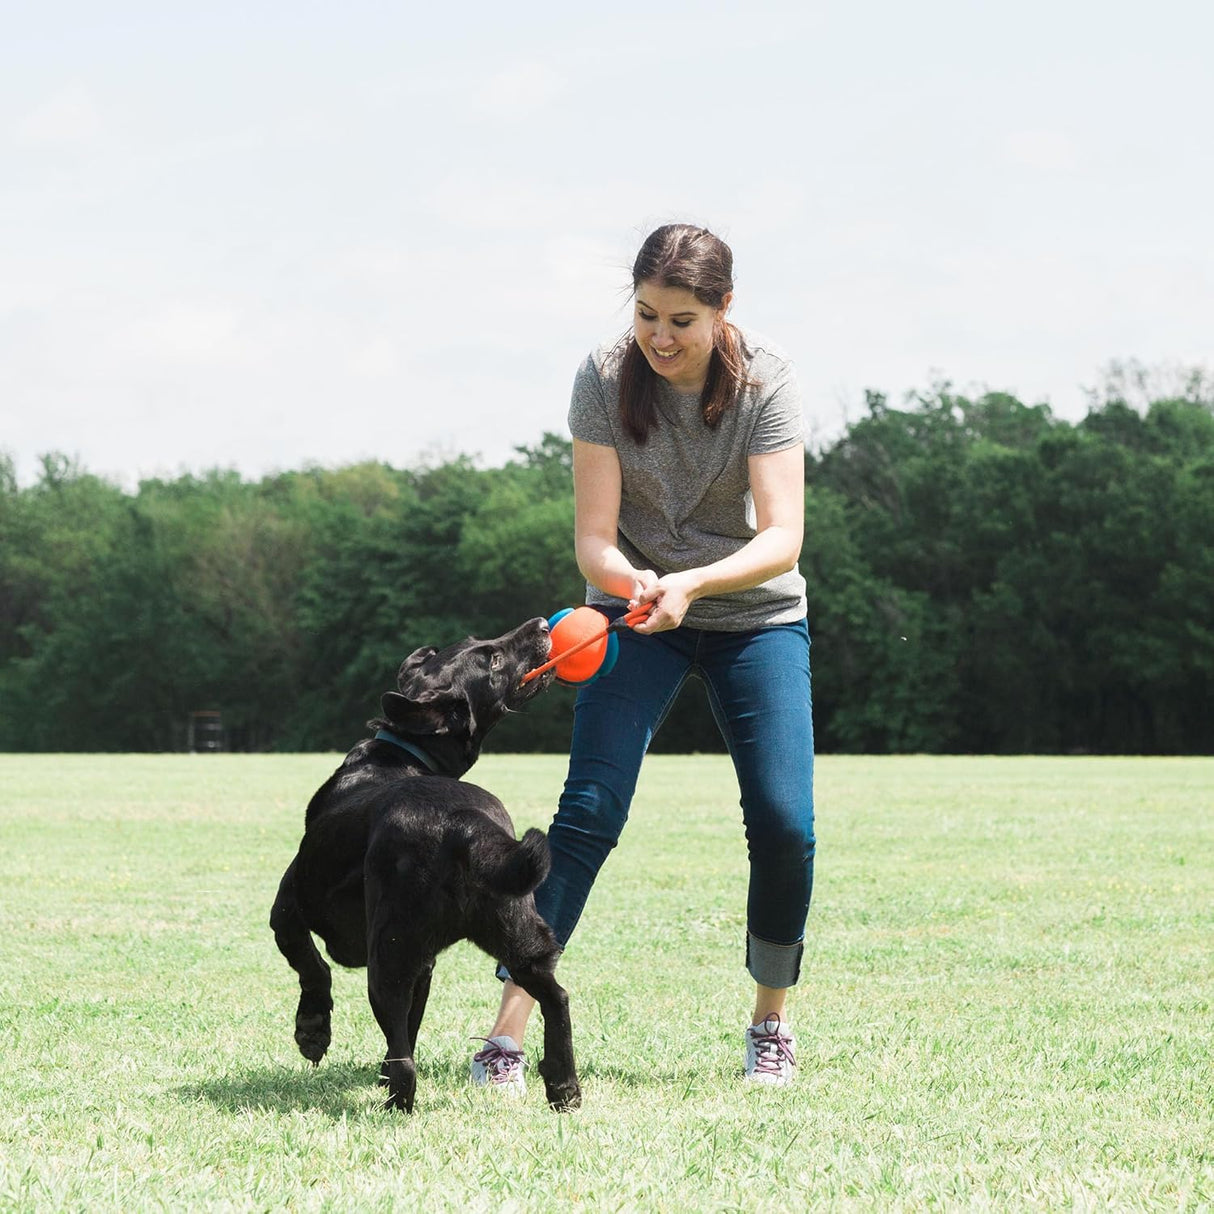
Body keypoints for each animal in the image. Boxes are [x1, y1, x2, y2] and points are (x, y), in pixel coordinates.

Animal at [270, 621, 582, 1112]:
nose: (542, 625)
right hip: (520, 938)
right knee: (557, 1000)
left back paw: (393, 1105)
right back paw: (564, 1086)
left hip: (388, 956)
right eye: (490, 657)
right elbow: (411, 1025)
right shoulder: (427, 966)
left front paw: (312, 1031)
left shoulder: (287, 910)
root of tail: (464, 824)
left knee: (405, 1061)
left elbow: (312, 967)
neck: (404, 752)